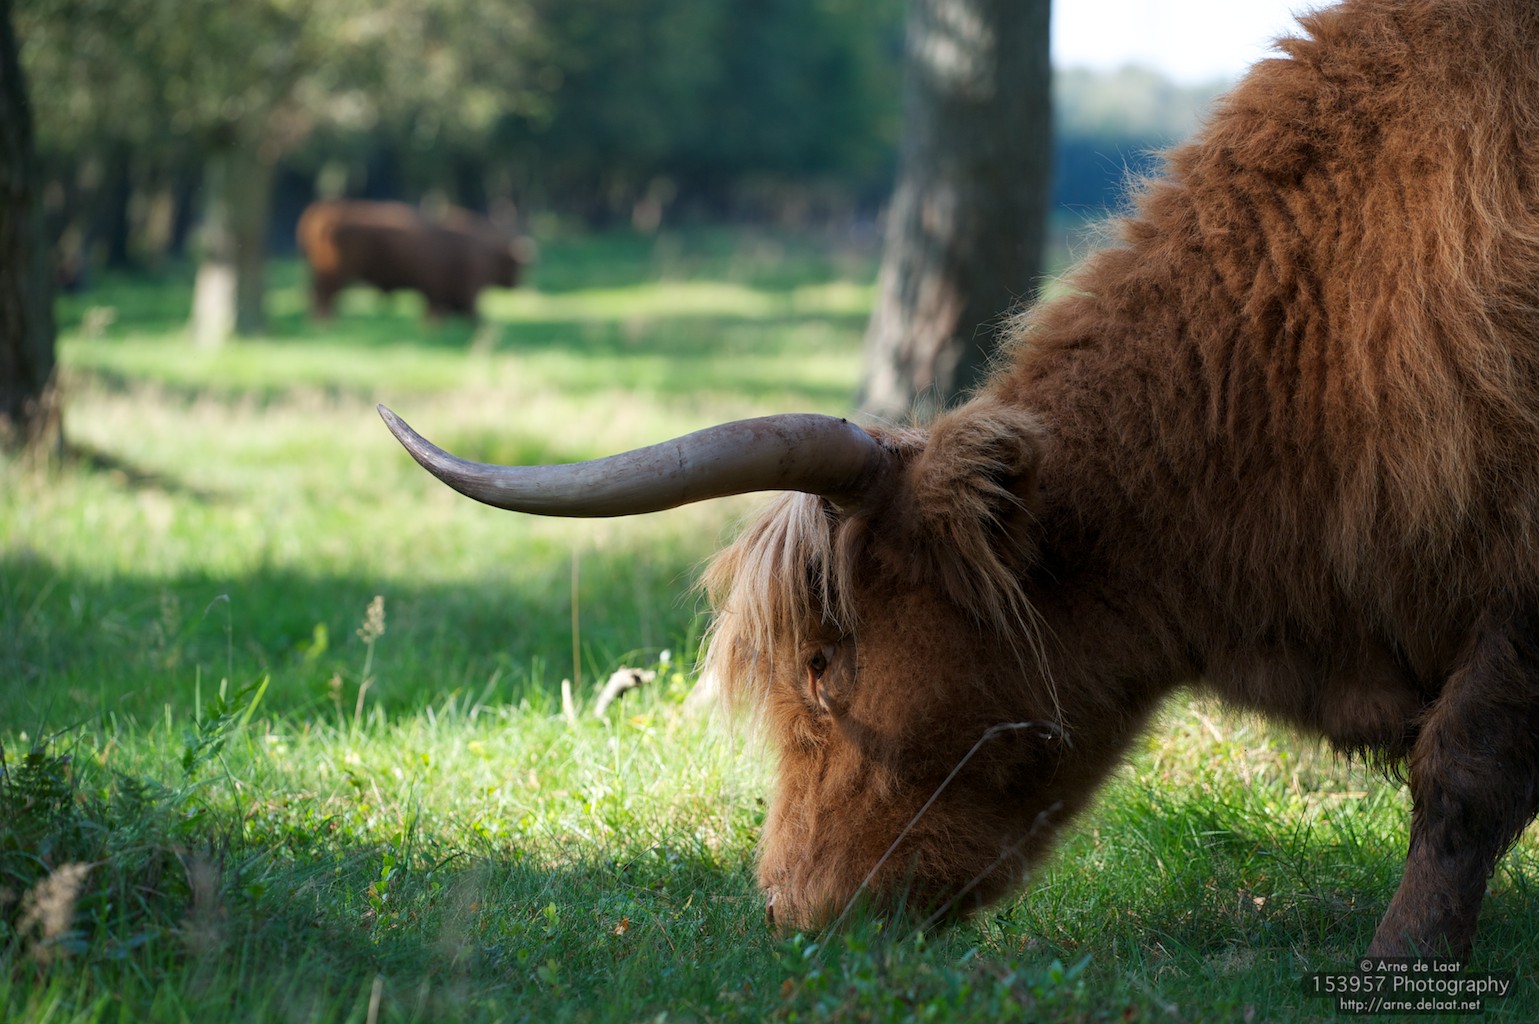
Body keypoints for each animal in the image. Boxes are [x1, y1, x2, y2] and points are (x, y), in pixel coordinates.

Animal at [296, 200, 528, 321]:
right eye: (515, 266)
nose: (518, 284)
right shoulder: (456, 293)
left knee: (317, 294)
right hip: (334, 273)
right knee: (324, 295)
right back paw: (326, 323)